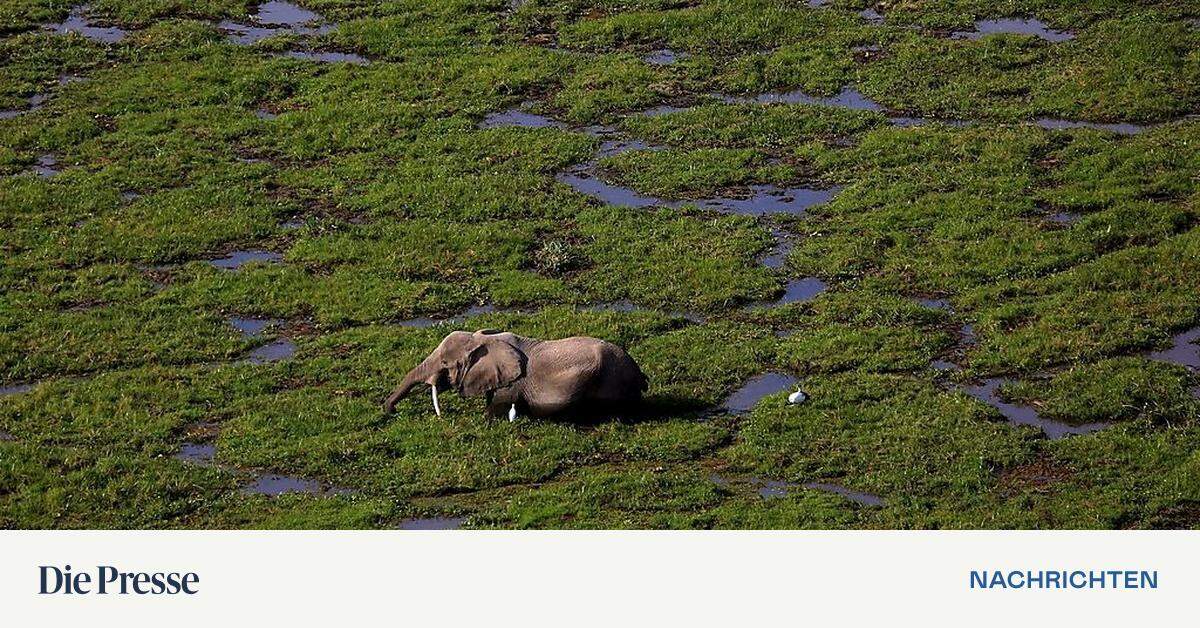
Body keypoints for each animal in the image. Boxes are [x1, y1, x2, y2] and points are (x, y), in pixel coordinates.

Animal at [381, 329, 648, 422]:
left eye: (446, 364)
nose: (391, 410)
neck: (485, 340)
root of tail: (639, 374)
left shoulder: (512, 383)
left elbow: (497, 408)